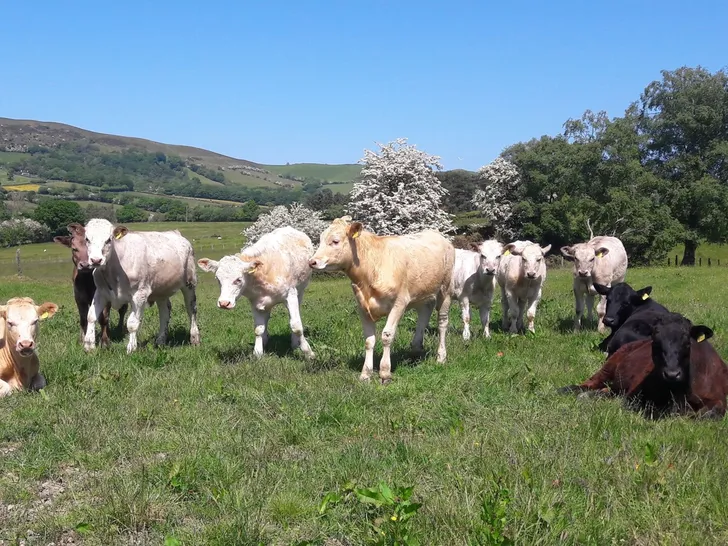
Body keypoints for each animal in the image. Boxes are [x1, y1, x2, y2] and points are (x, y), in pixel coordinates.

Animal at [82, 218, 200, 354]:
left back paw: (195, 338)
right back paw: (160, 341)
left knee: (191, 309)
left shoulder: (140, 294)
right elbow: (91, 317)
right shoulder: (101, 292)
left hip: (190, 283)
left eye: (108, 239)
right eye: (87, 239)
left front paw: (131, 348)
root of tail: (175, 232)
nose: (96, 260)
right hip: (161, 289)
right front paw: (89, 346)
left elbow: (132, 323)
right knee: (165, 311)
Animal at [197, 226, 315, 360]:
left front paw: (308, 352)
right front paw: (258, 352)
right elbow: (258, 329)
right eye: (217, 279)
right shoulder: (255, 302)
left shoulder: (290, 295)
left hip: (300, 290)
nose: (224, 303)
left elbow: (296, 326)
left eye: (238, 279)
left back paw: (295, 343)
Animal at [308, 216, 455, 384]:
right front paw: (365, 373)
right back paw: (416, 350)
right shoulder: (362, 307)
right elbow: (369, 340)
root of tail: (437, 235)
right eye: (320, 239)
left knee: (442, 323)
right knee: (424, 314)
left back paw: (441, 357)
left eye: (335, 241)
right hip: (423, 293)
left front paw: (385, 372)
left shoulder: (399, 303)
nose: (312, 262)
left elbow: (386, 336)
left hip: (445, 289)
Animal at [558, 312, 728, 419]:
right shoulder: (635, 397)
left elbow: (708, 414)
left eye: (687, 342)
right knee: (590, 383)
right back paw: (569, 390)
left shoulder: (719, 399)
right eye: (655, 341)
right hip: (609, 365)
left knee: (608, 391)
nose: (672, 374)